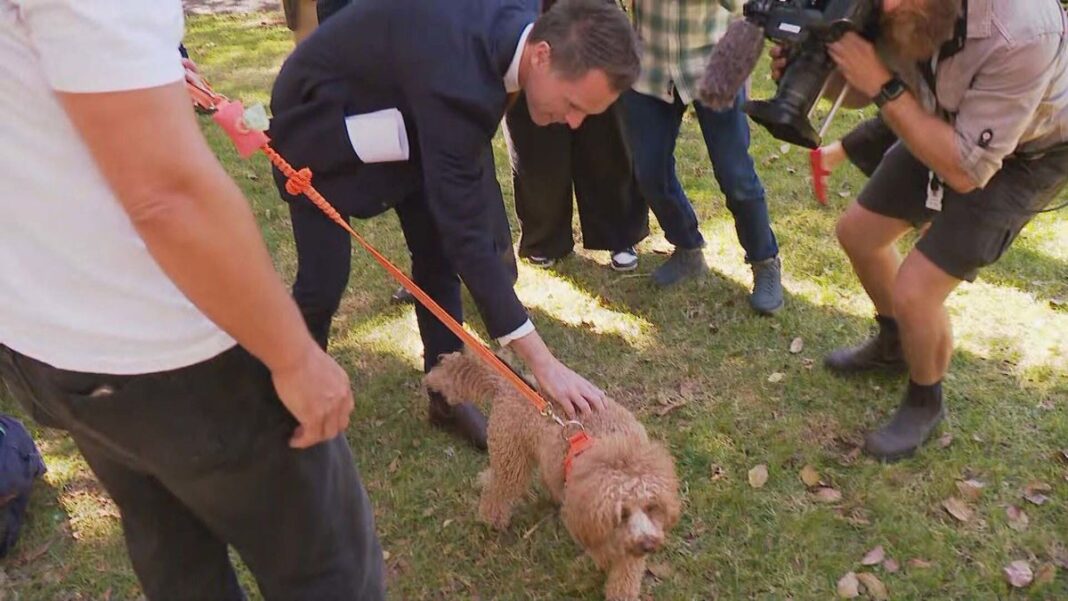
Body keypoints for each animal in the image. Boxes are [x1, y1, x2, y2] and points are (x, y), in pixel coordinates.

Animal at [422, 350, 679, 597]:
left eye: (651, 507)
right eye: (622, 513)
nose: (648, 545)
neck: (612, 446)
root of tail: (508, 384)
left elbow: (626, 572)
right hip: (511, 457)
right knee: (499, 490)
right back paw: (492, 519)